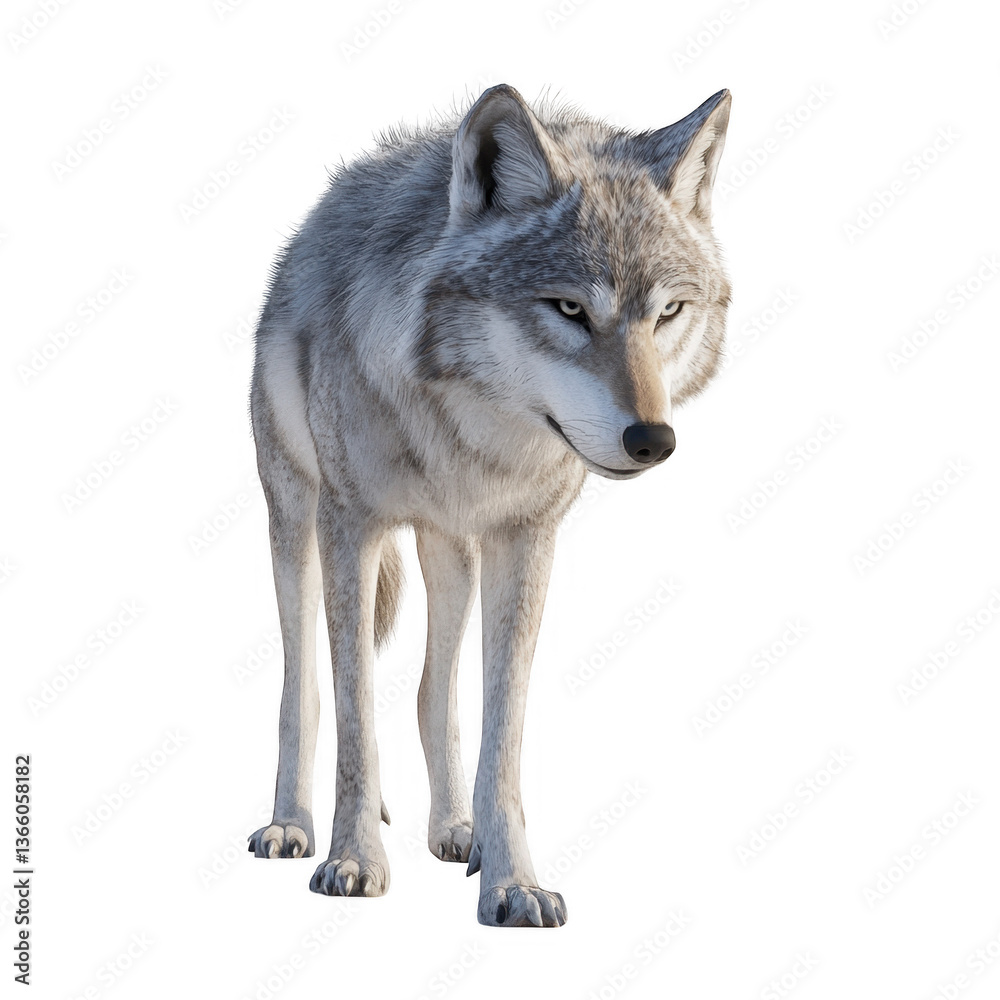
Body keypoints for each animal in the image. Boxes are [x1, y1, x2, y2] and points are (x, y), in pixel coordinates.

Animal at [247, 84, 731, 927]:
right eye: (568, 309)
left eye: (668, 312)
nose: (653, 438)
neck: (471, 432)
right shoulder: (350, 527)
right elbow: (351, 716)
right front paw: (352, 860)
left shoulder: (525, 538)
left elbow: (500, 731)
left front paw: (512, 881)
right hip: (295, 525)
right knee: (301, 689)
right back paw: (290, 826)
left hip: (453, 556)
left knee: (431, 694)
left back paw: (454, 829)